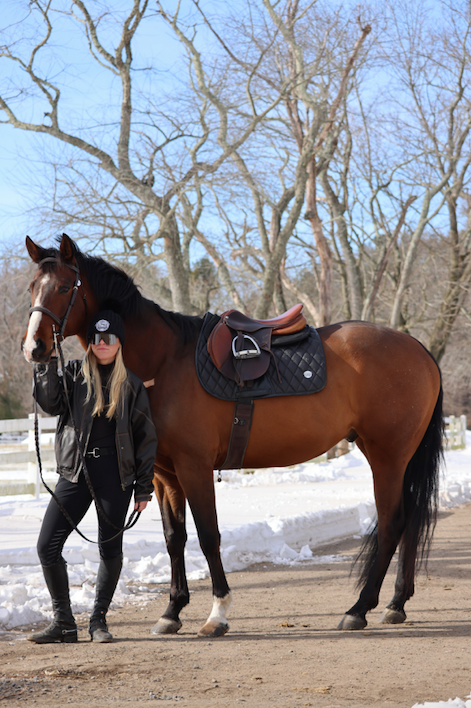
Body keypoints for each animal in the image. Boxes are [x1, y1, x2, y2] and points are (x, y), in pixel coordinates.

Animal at [22, 233, 444, 635]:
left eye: (64, 287)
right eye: (31, 287)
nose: (34, 347)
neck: (165, 360)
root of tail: (418, 349)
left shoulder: (193, 468)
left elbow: (209, 536)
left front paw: (218, 614)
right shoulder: (163, 475)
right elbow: (175, 538)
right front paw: (172, 611)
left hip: (387, 456)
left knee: (391, 523)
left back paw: (359, 609)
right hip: (392, 457)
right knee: (409, 520)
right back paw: (395, 604)